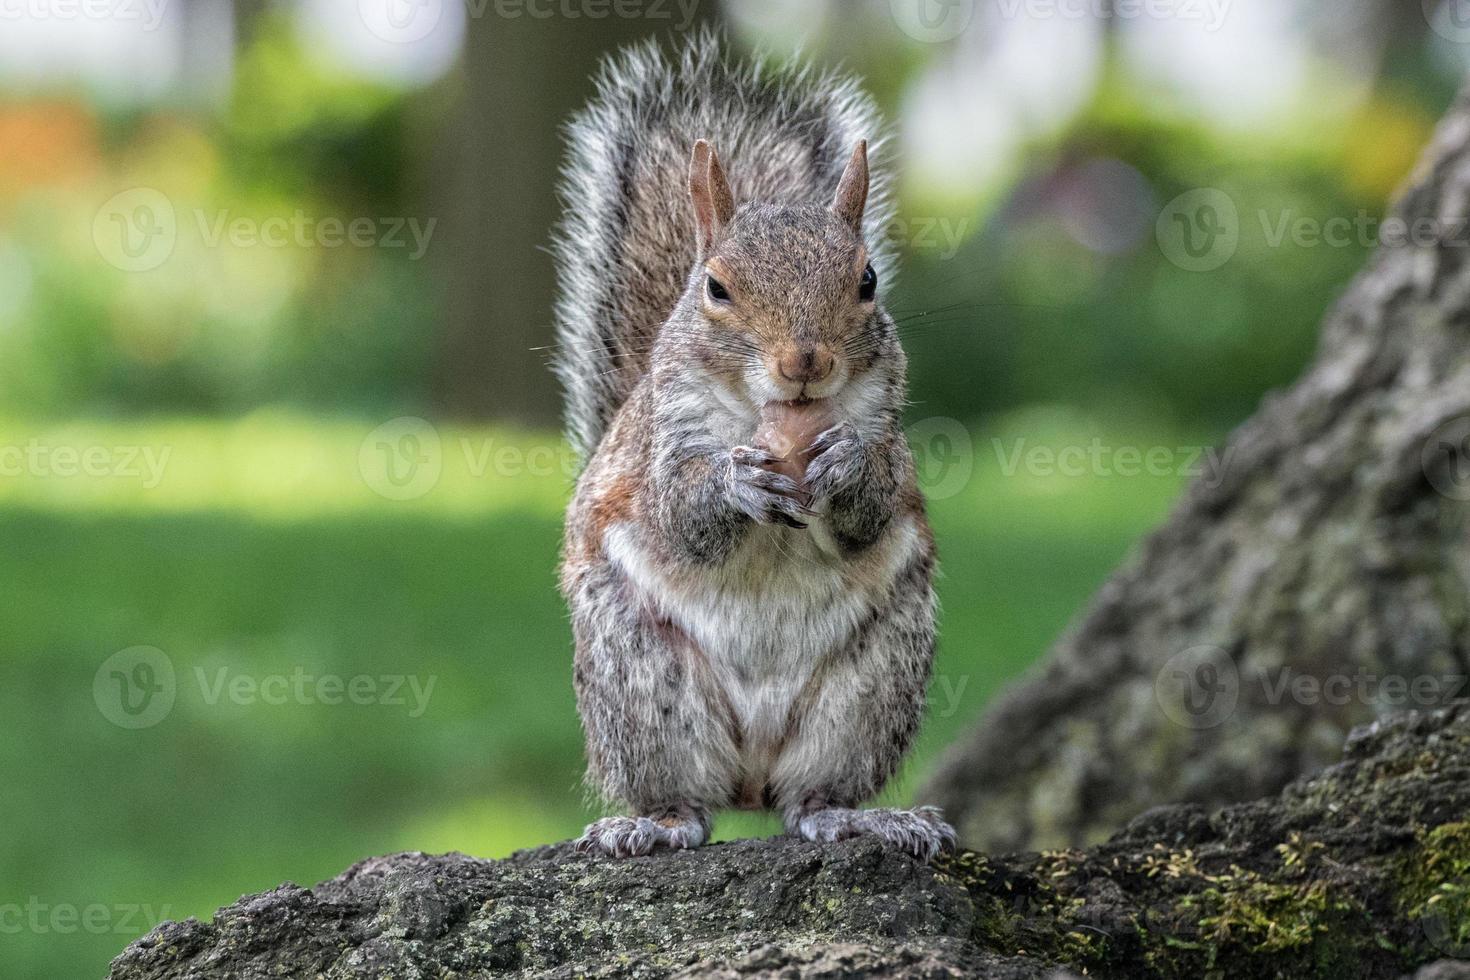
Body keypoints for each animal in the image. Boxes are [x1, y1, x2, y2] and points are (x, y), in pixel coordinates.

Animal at [552, 28, 952, 858]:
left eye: (868, 280)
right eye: (716, 287)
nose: (805, 362)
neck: (771, 413)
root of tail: (751, 776)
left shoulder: (886, 426)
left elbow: (874, 500)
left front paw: (844, 468)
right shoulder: (663, 442)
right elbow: (680, 516)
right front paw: (736, 485)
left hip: (870, 684)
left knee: (810, 796)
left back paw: (859, 816)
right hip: (641, 682)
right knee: (688, 797)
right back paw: (656, 824)